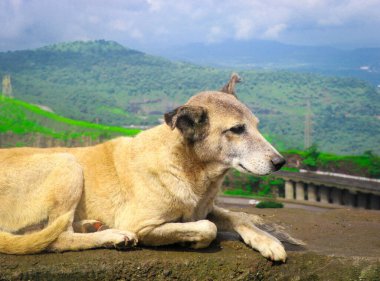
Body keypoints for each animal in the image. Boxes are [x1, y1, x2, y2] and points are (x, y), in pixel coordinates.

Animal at [0, 74, 302, 260]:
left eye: (257, 125)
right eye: (237, 130)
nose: (281, 162)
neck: (188, 167)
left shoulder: (207, 207)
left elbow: (238, 217)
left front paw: (268, 241)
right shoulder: (141, 223)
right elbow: (207, 228)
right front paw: (189, 240)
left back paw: (91, 226)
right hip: (67, 163)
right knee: (58, 238)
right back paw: (112, 236)